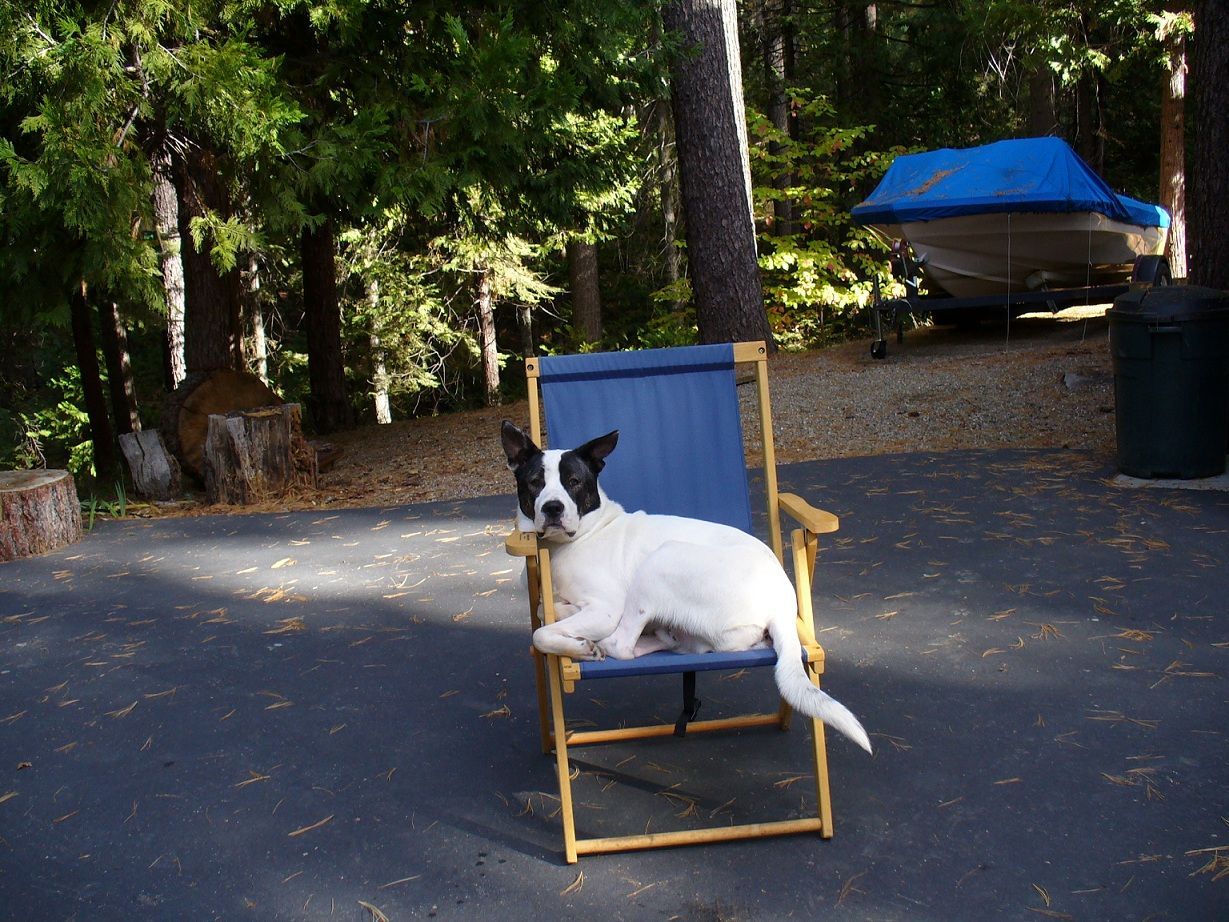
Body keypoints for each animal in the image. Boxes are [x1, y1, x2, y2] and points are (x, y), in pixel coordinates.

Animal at [501, 420, 872, 753]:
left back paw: (595, 646)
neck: (571, 541)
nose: (552, 508)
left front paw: (577, 644)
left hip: (662, 560)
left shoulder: (606, 609)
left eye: (574, 482)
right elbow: (542, 610)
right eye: (534, 482)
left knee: (620, 644)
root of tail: (781, 603)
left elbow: (541, 633)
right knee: (663, 644)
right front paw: (565, 617)